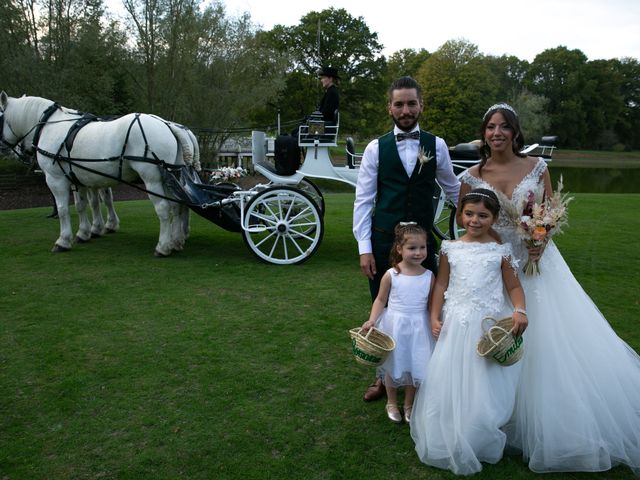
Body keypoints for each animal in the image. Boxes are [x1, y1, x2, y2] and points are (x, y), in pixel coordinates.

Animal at [0, 94, 196, 256]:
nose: (4, 149)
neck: (51, 125)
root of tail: (169, 125)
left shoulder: (56, 179)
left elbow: (63, 209)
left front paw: (63, 240)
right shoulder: (78, 179)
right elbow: (82, 205)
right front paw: (85, 232)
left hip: (153, 179)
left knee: (163, 208)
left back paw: (163, 246)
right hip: (171, 176)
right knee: (178, 206)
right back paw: (176, 240)